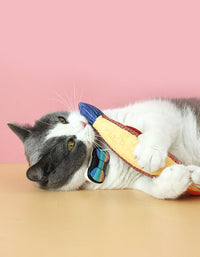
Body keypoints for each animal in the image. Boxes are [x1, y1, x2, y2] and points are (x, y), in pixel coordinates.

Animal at [7, 97, 200, 199]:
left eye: (62, 119)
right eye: (70, 145)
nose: (84, 123)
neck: (100, 154)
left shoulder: (160, 111)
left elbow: (158, 124)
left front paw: (150, 152)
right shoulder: (131, 181)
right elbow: (156, 188)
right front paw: (182, 176)